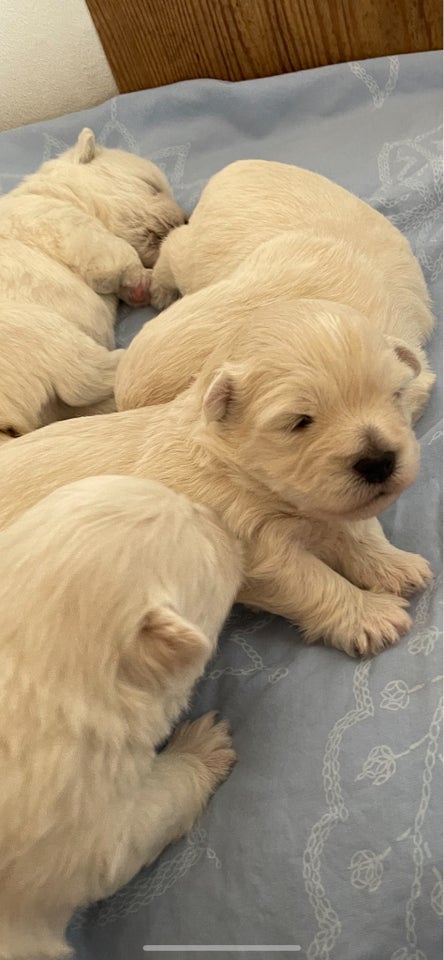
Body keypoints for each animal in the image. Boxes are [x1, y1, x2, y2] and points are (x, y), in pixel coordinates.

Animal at [0, 127, 186, 442]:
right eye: (150, 185)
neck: (58, 193)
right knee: (89, 377)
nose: (186, 219)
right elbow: (118, 255)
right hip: (39, 331)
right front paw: (149, 280)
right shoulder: (67, 223)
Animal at [0, 302, 434, 660]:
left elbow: (359, 532)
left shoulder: (320, 507)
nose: (378, 462)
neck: (237, 471)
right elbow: (312, 581)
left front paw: (397, 566)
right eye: (299, 421)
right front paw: (371, 616)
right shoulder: (259, 554)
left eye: (396, 394)